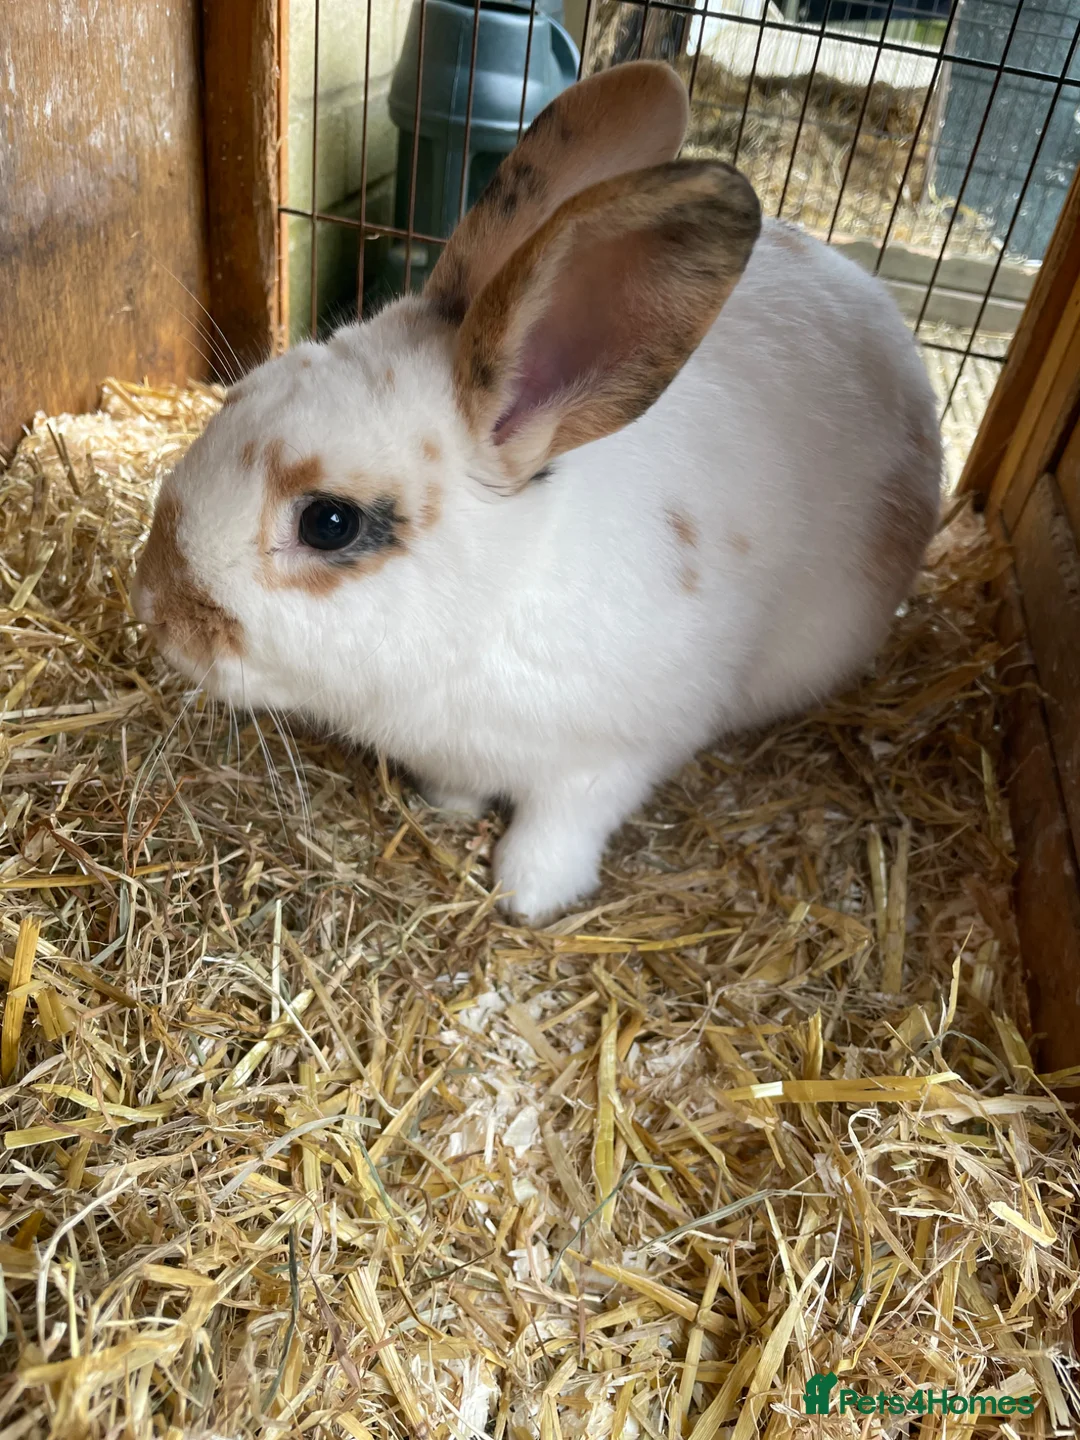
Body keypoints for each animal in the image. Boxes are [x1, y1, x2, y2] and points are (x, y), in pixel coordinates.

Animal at [132, 60, 941, 926]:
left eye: (330, 522)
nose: (152, 604)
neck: (492, 607)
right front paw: (447, 809)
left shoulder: (614, 756)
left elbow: (564, 823)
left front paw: (526, 893)